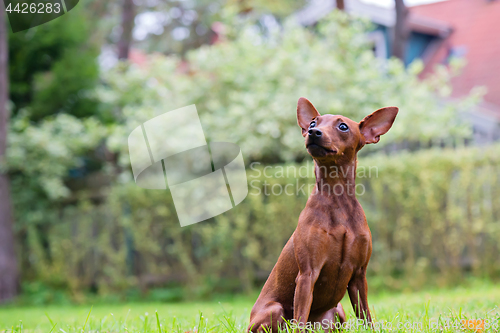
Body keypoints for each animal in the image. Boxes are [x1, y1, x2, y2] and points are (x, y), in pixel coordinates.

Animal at [247, 97, 398, 330]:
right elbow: (300, 319)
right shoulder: (307, 274)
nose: (313, 132)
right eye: (312, 123)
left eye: (343, 126)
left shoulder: (359, 276)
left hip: (338, 310)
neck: (337, 200)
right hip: (275, 310)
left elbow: (366, 317)